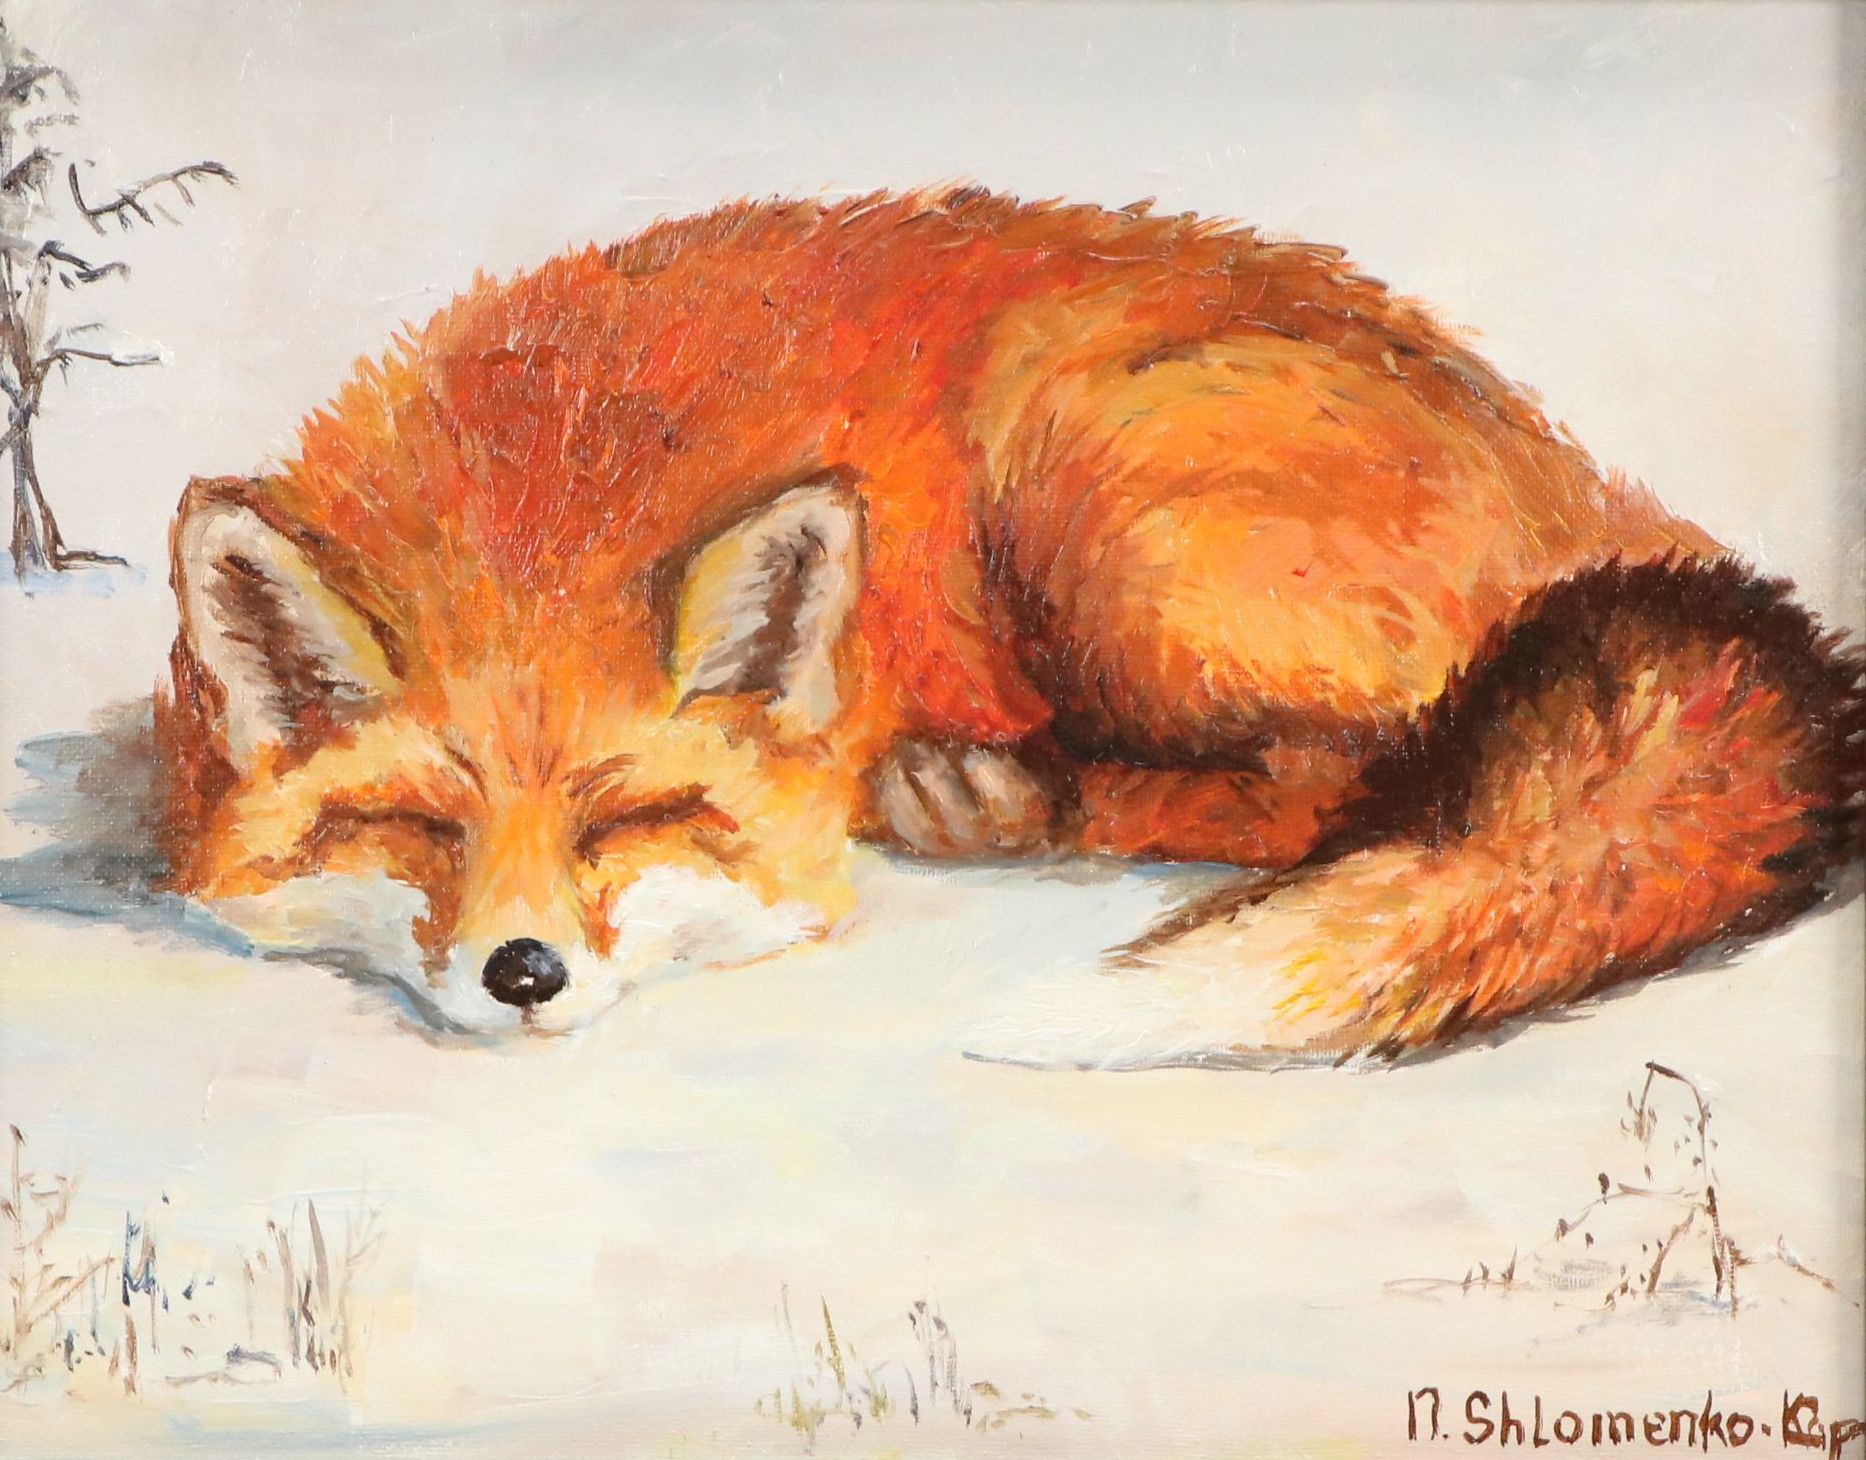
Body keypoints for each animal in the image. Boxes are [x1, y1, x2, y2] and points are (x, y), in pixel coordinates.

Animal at [155, 187, 1863, 1056]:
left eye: (629, 819)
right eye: (414, 825)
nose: (525, 974)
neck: (536, 488)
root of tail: (1607, 501)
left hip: (1097, 493)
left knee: (1346, 781)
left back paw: (1017, 796)